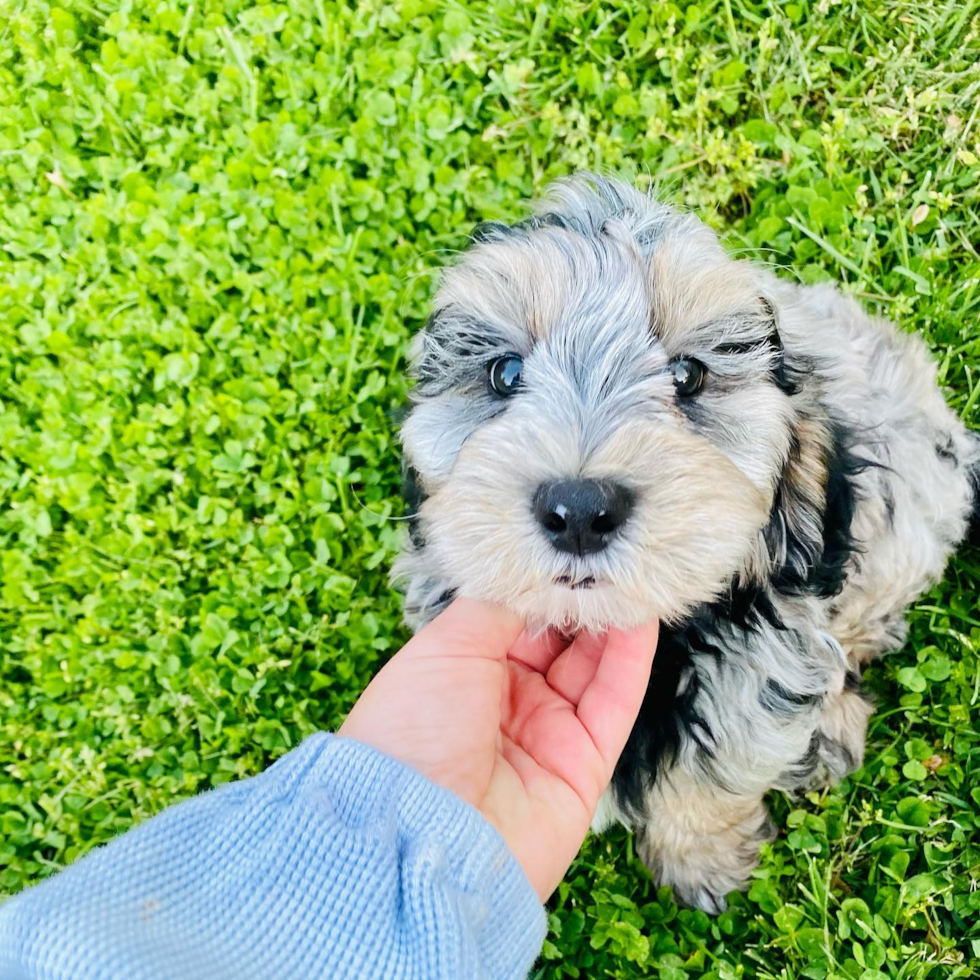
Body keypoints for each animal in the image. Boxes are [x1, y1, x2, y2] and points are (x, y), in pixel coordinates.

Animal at [392, 174, 980, 912]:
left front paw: (700, 861)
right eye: (503, 375)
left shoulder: (758, 674)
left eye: (688, 375)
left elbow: (715, 780)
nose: (579, 509)